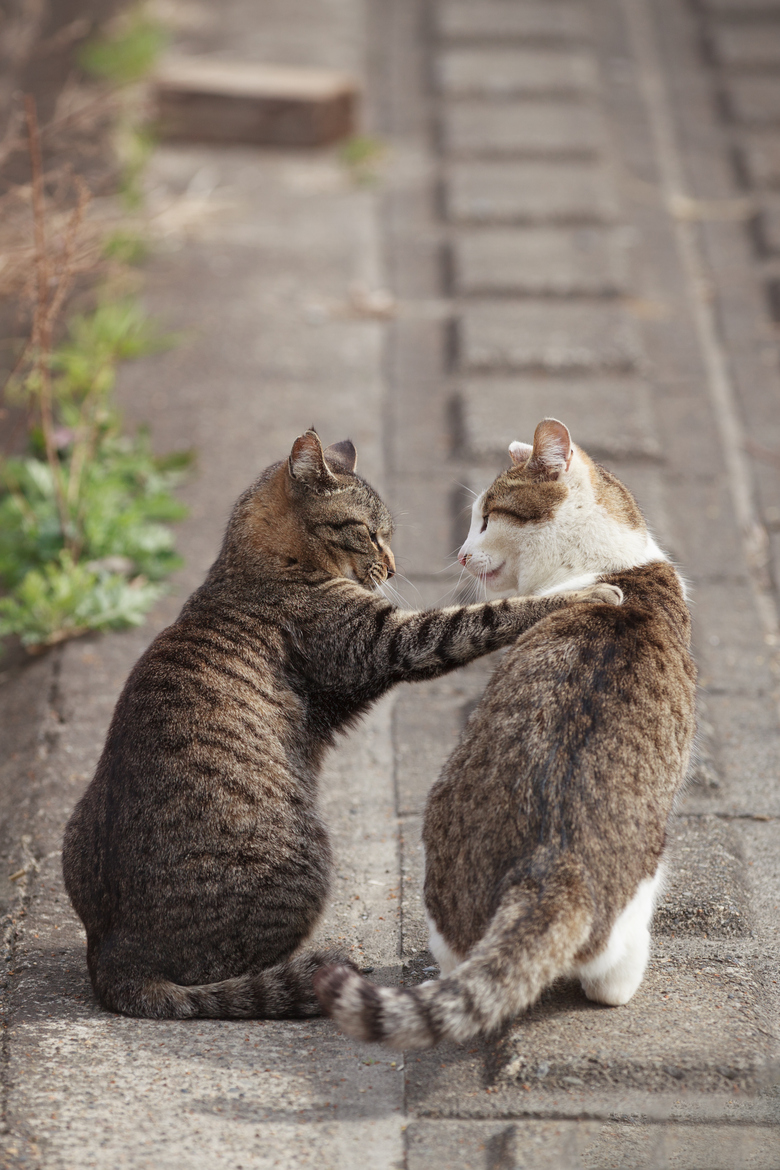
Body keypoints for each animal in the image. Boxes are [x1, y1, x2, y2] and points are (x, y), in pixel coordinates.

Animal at [62, 435, 622, 1020]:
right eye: (370, 532)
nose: (393, 567)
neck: (254, 563)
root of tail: (113, 959)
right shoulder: (387, 640)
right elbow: (483, 616)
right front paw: (588, 591)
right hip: (305, 865)